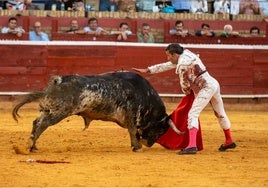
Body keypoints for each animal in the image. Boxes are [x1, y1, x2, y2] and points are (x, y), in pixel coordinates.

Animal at [12, 71, 182, 152]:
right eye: (161, 129)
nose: (149, 144)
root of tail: (58, 80)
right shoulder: (131, 114)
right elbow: (133, 131)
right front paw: (137, 147)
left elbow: (132, 131)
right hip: (59, 112)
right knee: (43, 124)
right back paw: (31, 146)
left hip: (47, 110)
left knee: (36, 123)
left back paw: (33, 146)